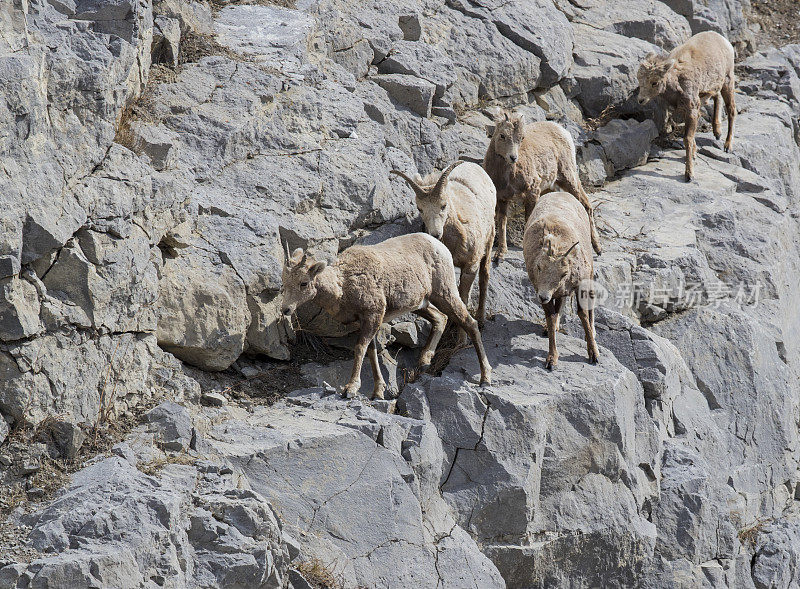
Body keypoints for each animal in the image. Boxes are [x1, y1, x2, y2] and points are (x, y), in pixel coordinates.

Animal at [282, 234, 494, 400]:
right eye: (284, 281)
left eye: (303, 283)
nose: (285, 309)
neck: (343, 286)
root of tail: (440, 246)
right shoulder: (366, 321)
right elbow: (372, 351)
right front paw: (378, 392)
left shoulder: (373, 315)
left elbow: (360, 348)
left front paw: (351, 389)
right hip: (421, 303)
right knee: (440, 318)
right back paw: (424, 362)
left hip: (445, 294)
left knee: (470, 323)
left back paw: (485, 379)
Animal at [390, 158, 494, 328]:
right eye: (420, 208)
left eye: (443, 205)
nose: (435, 234)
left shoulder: (470, 267)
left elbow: (464, 300)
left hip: (490, 239)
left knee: (484, 275)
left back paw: (481, 319)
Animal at [482, 113, 600, 260]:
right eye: (502, 135)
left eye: (521, 138)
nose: (513, 157)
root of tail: (563, 131)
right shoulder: (502, 198)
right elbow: (502, 222)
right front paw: (500, 254)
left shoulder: (532, 192)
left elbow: (529, 219)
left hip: (569, 177)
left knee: (586, 204)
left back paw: (598, 248)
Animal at [520, 191, 596, 370]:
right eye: (539, 267)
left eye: (564, 273)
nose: (543, 297)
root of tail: (561, 192)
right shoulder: (541, 288)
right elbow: (552, 316)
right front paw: (551, 360)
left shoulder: (580, 286)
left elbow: (583, 314)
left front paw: (594, 355)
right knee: (559, 305)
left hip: (589, 277)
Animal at [636, 29, 736, 181]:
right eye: (639, 79)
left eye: (654, 82)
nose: (640, 100)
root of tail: (722, 39)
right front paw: (694, 155)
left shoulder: (691, 109)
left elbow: (687, 139)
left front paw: (689, 175)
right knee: (717, 97)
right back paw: (717, 132)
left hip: (728, 80)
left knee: (731, 110)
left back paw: (727, 146)